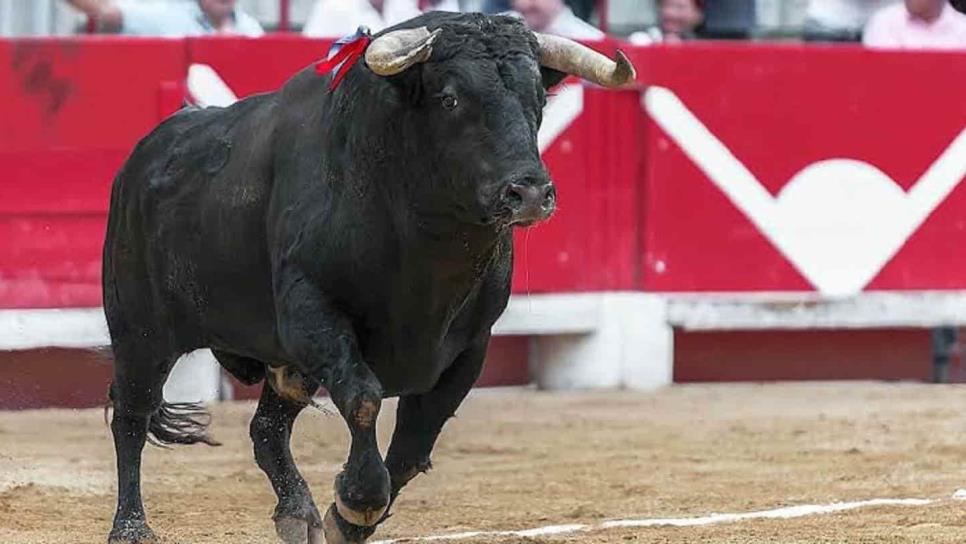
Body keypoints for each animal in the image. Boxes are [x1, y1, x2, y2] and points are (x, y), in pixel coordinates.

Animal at [100, 12, 636, 544]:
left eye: (538, 99)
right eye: (450, 98)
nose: (529, 193)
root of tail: (144, 156)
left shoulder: (470, 347)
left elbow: (415, 442)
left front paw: (347, 520)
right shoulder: (314, 314)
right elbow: (363, 399)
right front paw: (358, 502)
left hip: (283, 362)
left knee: (267, 429)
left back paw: (299, 515)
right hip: (141, 333)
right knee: (131, 416)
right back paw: (131, 526)